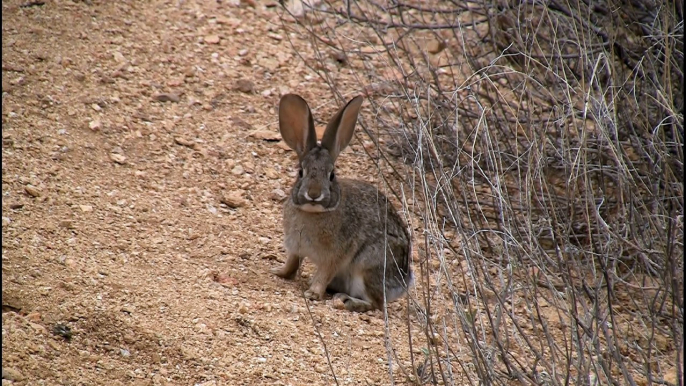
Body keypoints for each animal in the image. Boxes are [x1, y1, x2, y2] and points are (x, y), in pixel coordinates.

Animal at [272, 94, 414, 314]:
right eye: (300, 172)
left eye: (332, 175)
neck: (313, 212)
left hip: (367, 267)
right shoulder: (295, 246)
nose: (314, 194)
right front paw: (278, 272)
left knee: (377, 304)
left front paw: (313, 293)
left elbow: (324, 274)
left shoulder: (335, 256)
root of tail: (403, 283)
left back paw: (348, 301)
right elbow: (292, 264)